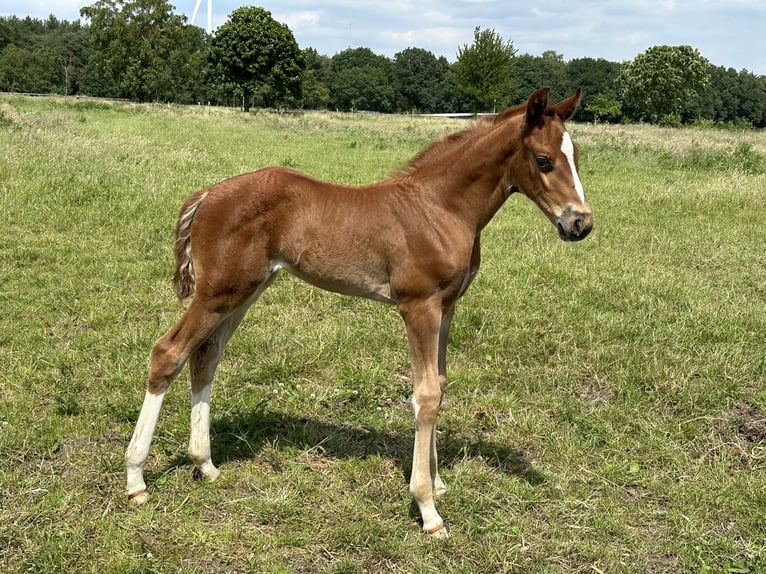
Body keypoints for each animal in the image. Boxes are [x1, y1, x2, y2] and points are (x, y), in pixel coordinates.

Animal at [124, 88, 592, 536]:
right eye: (544, 160)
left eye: (577, 157)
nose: (580, 224)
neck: (439, 208)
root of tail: (207, 194)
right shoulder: (418, 306)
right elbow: (426, 394)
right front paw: (428, 508)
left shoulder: (448, 306)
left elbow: (440, 384)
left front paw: (439, 481)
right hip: (218, 291)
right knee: (168, 352)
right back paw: (136, 478)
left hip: (244, 291)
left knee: (206, 357)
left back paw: (205, 464)